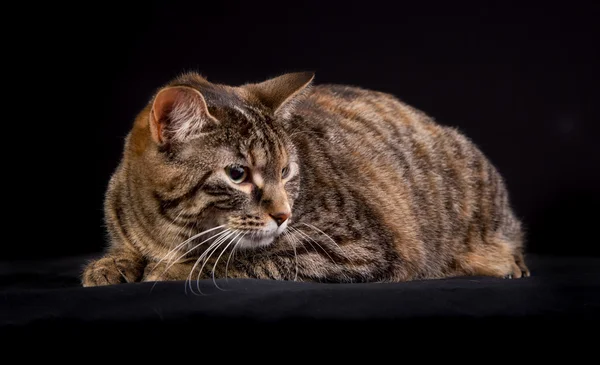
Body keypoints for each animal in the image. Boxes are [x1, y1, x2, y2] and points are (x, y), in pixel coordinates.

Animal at [81, 71, 528, 288]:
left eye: (286, 171)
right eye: (238, 174)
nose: (283, 215)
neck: (168, 230)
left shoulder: (351, 246)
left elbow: (242, 259)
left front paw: (170, 269)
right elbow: (125, 249)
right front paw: (111, 264)